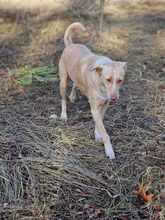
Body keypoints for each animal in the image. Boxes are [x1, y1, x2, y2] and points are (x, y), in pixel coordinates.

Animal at [57, 22, 126, 159]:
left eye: (120, 80)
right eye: (108, 79)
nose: (114, 98)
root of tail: (71, 44)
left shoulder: (104, 106)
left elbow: (99, 123)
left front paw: (97, 135)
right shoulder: (94, 108)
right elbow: (105, 132)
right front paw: (109, 150)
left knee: (75, 83)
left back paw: (73, 96)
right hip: (63, 81)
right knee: (63, 99)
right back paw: (64, 115)